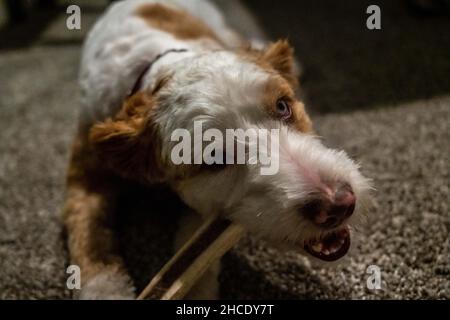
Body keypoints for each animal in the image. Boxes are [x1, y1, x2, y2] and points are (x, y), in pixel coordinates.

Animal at [64, 0, 372, 300]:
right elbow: (89, 238)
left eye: (283, 106)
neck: (158, 69)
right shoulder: (86, 172)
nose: (338, 204)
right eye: (215, 158)